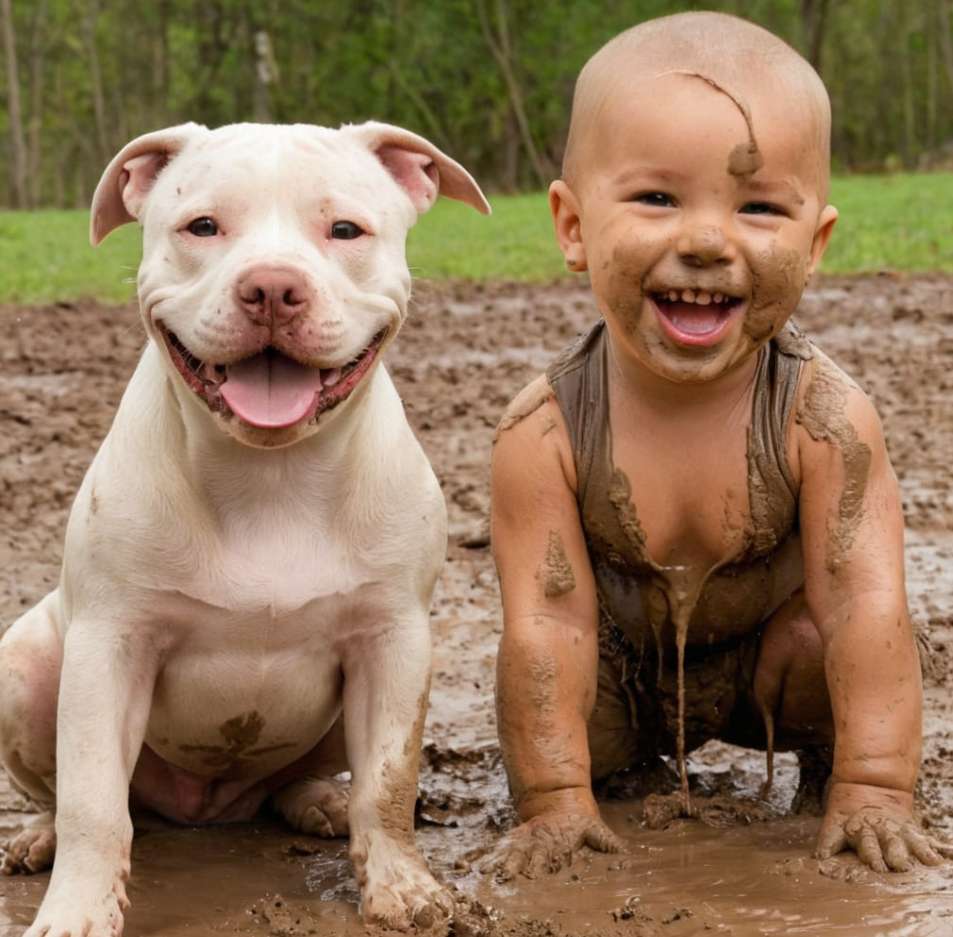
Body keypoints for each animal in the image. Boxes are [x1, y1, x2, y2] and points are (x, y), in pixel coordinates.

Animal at [0, 120, 488, 932]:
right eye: (203, 226)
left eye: (345, 230)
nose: (271, 287)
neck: (271, 476)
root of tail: (206, 807)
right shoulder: (109, 645)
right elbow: (92, 801)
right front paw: (75, 910)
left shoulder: (394, 641)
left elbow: (388, 781)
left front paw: (405, 888)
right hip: (25, 666)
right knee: (69, 791)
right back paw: (36, 837)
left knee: (306, 780)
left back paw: (319, 803)